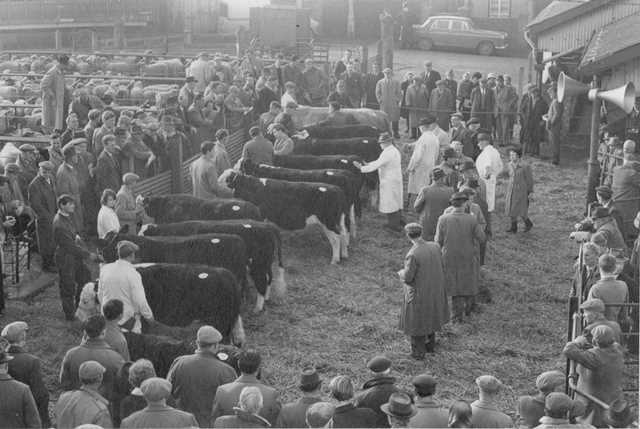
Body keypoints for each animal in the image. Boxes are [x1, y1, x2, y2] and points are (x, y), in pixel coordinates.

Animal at [140, 219, 284, 312]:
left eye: (144, 233)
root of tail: (267, 228)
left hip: (258, 266)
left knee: (262, 283)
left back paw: (257, 308)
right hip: (265, 264)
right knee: (269, 278)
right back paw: (266, 299)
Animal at [221, 169, 350, 262]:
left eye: (226, 179)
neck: (253, 188)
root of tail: (337, 190)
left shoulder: (262, 217)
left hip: (328, 221)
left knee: (336, 238)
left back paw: (335, 260)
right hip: (337, 220)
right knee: (343, 233)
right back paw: (344, 255)